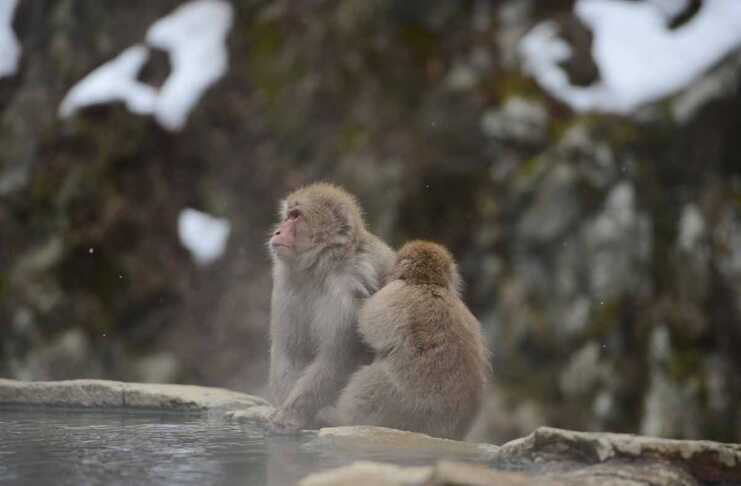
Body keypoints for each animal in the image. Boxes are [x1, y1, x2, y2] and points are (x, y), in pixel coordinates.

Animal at [267, 182, 395, 432]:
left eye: (295, 216)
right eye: (287, 216)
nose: (277, 231)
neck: (320, 268)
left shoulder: (348, 291)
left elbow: (336, 360)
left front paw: (291, 414)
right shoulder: (286, 287)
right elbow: (290, 352)